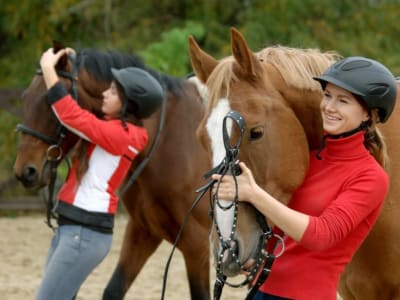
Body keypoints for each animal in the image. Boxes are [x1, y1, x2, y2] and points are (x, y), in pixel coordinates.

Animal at [12, 42, 212, 300]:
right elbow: (114, 289)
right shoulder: (143, 231)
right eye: (25, 97)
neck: (168, 141)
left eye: (50, 101)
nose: (25, 171)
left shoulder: (197, 245)